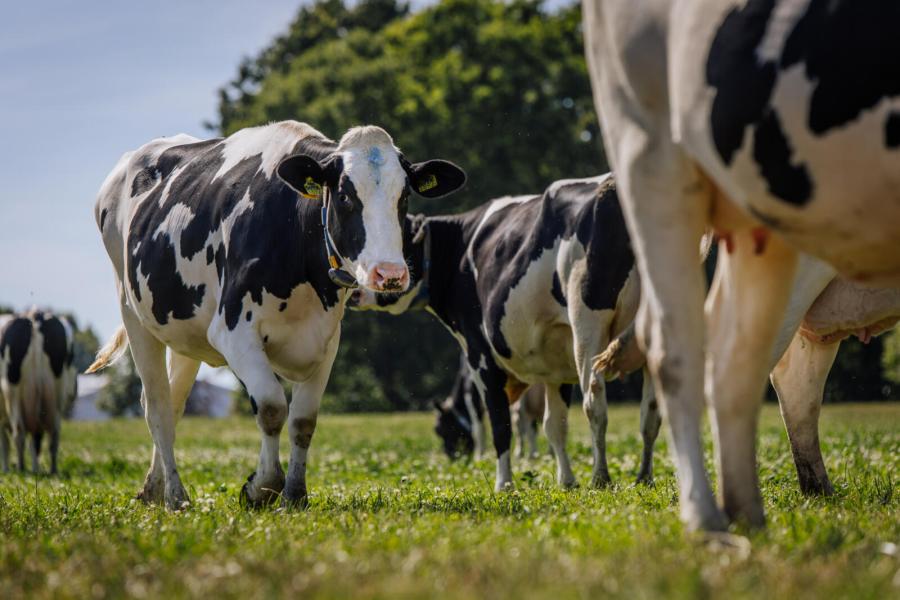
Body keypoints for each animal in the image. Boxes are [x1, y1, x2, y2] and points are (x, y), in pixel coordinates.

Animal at [0, 310, 76, 474]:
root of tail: (34, 315)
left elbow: (5, 445)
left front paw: (7, 469)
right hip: (56, 395)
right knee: (53, 435)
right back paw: (52, 470)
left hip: (13, 391)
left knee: (19, 433)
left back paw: (21, 469)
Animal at [86, 120, 466, 509]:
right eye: (345, 195)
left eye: (403, 196)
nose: (389, 273)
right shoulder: (232, 331)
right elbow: (271, 407)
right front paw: (261, 488)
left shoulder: (326, 341)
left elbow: (303, 420)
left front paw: (295, 494)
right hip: (134, 314)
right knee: (158, 408)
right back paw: (176, 497)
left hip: (182, 330)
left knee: (175, 403)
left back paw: (154, 489)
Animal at [351, 174, 661, 490]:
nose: (352, 290)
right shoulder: (556, 362)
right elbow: (555, 425)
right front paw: (566, 481)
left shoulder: (480, 354)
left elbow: (499, 422)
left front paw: (504, 484)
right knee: (650, 413)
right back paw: (644, 476)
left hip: (588, 325)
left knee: (594, 403)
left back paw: (600, 477)